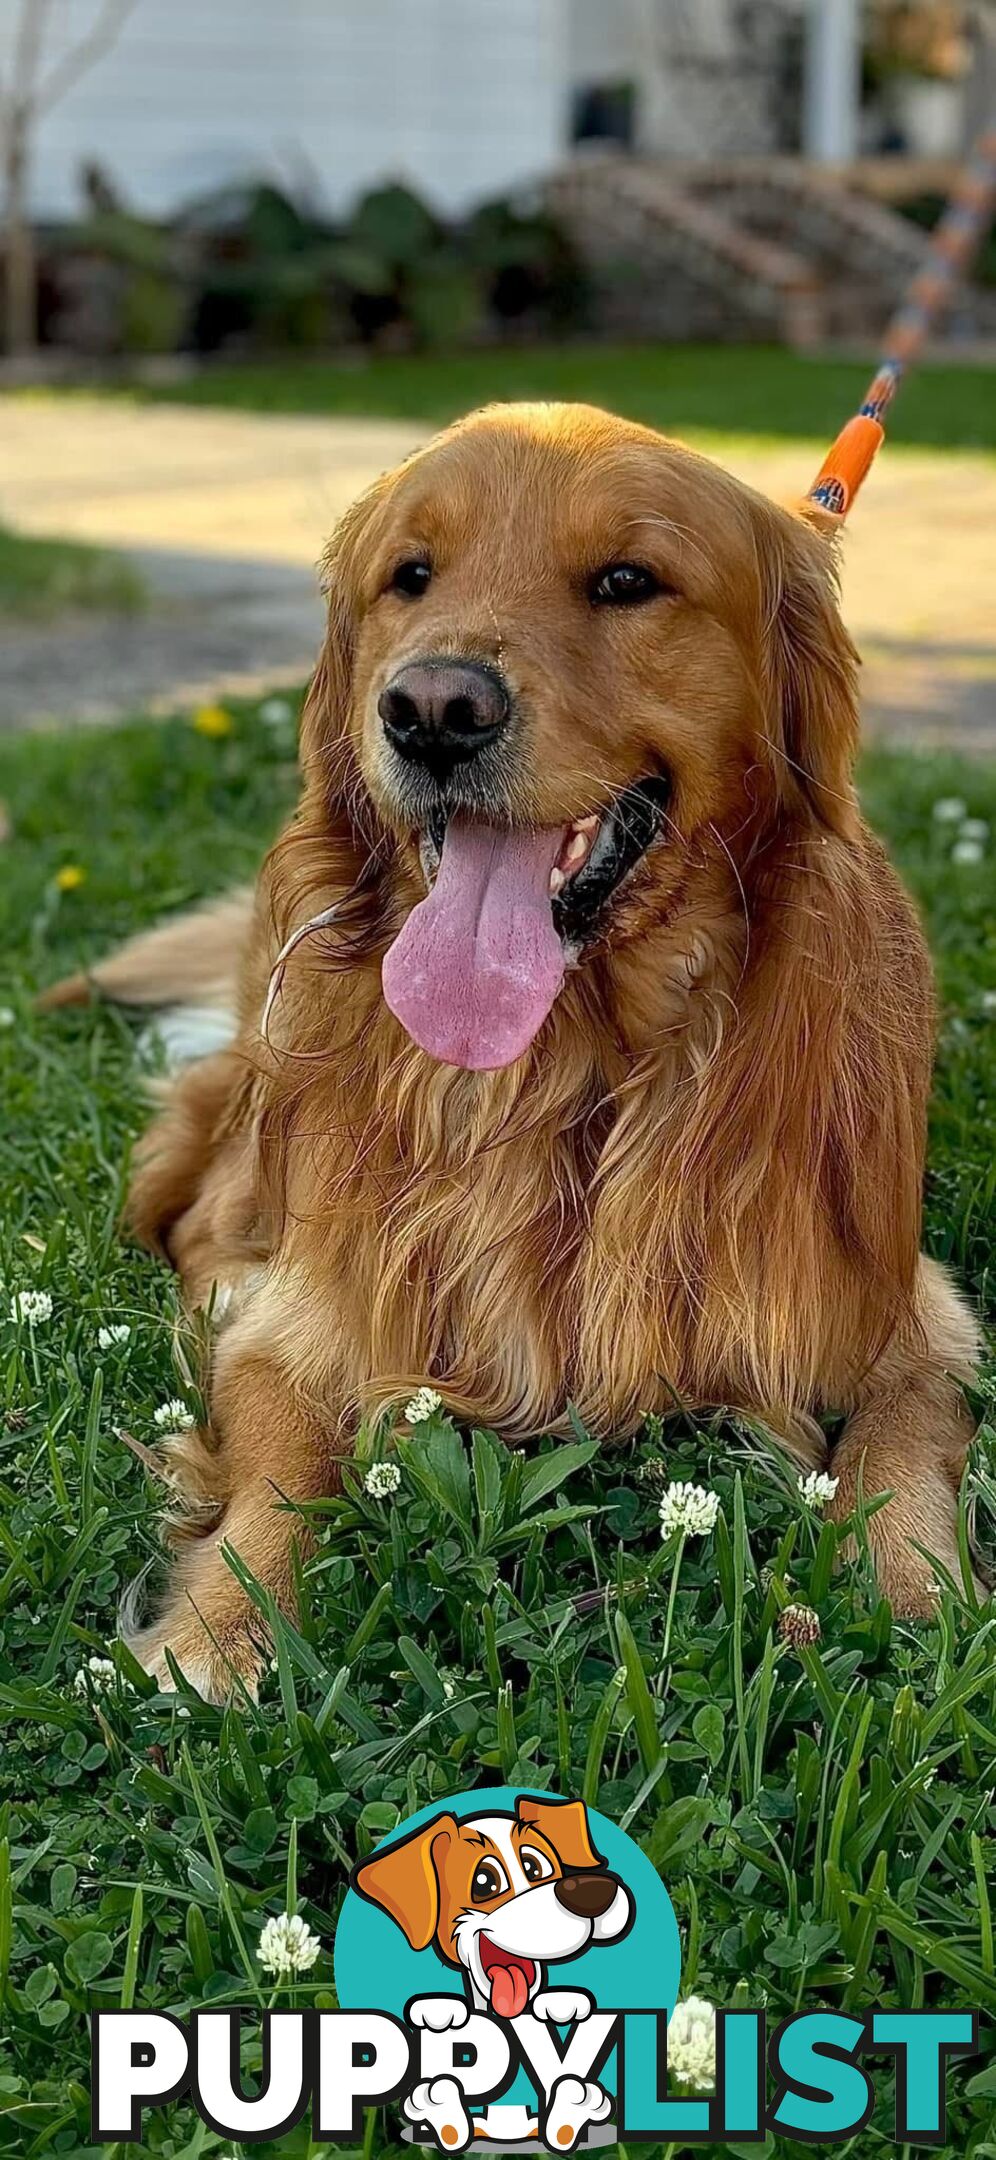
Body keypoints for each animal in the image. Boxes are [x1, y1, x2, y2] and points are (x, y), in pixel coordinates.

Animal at [48, 397, 976, 1693]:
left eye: (628, 580)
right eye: (411, 576)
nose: (432, 710)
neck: (569, 1073)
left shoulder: (905, 1303)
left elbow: (902, 1434)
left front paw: (914, 1595)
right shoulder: (314, 1318)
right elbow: (276, 1471)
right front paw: (215, 1634)